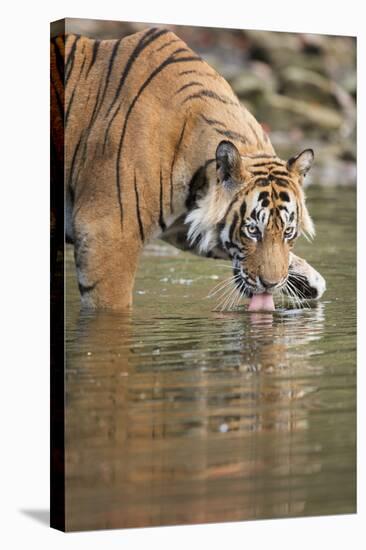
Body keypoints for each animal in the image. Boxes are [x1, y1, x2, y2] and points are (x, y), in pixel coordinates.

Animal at [50, 27, 326, 310]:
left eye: (288, 232)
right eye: (252, 231)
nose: (271, 284)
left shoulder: (185, 224)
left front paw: (309, 280)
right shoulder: (107, 235)